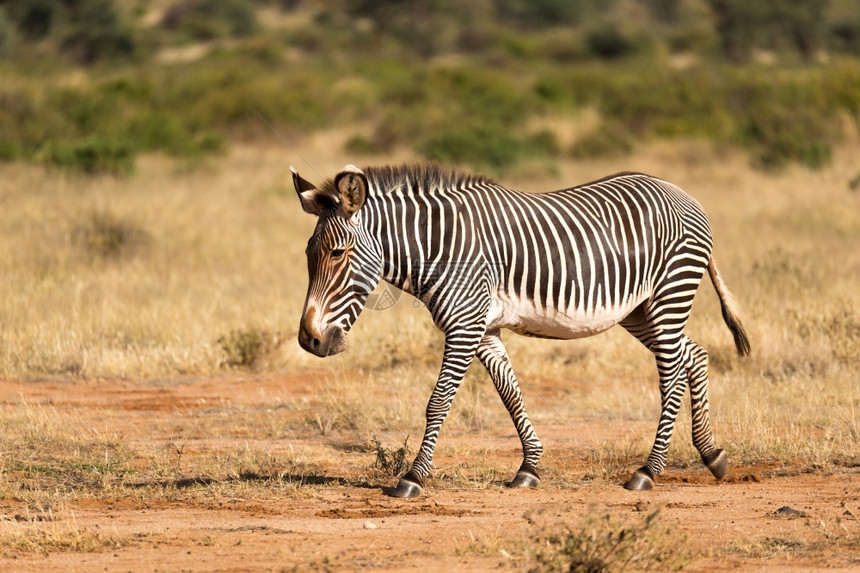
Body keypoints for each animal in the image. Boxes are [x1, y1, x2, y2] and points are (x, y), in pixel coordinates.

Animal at [292, 162, 748, 496]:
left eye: (338, 253)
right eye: (308, 253)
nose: (309, 340)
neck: (440, 248)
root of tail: (682, 193)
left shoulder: (464, 324)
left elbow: (438, 402)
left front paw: (413, 477)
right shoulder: (484, 329)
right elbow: (510, 393)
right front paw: (529, 467)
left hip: (670, 293)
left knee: (671, 375)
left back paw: (648, 471)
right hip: (641, 310)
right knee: (695, 355)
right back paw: (712, 455)